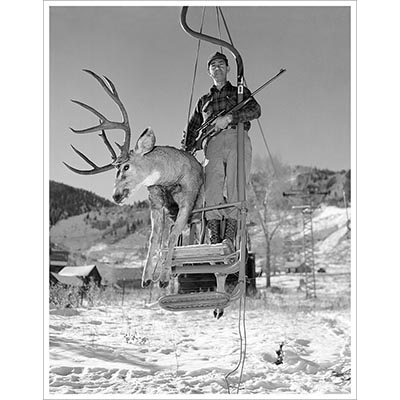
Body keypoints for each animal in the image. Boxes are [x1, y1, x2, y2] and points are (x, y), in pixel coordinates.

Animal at [65, 70, 205, 290]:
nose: (115, 196)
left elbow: (173, 235)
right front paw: (147, 279)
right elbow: (155, 238)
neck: (170, 178)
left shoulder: (188, 200)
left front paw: (164, 279)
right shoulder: (156, 203)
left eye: (126, 166)